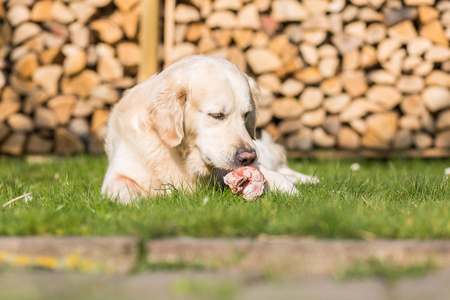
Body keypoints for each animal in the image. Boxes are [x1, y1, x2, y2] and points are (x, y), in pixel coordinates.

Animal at [101, 55, 316, 203]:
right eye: (217, 115)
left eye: (246, 115)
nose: (248, 157)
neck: (182, 157)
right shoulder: (118, 173)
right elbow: (123, 188)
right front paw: (139, 201)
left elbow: (279, 179)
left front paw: (294, 193)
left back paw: (311, 180)